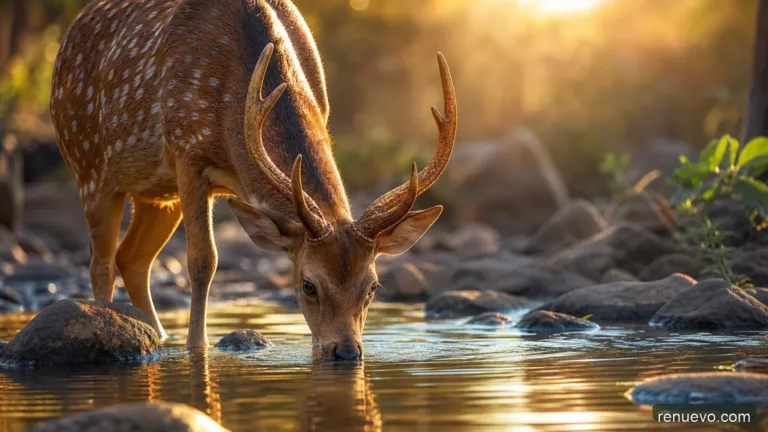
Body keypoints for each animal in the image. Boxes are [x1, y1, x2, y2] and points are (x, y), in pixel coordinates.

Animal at [50, 0, 456, 360]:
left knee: (132, 258)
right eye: (308, 285)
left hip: (157, 194)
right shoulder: (187, 151)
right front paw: (198, 349)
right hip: (88, 165)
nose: (345, 352)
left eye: (373, 286)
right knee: (101, 262)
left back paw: (157, 338)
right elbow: (203, 260)